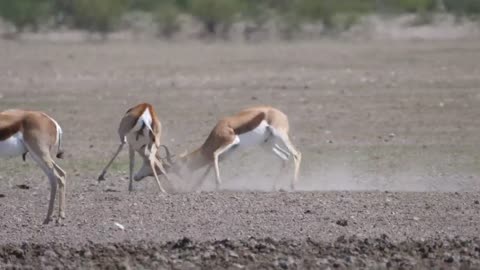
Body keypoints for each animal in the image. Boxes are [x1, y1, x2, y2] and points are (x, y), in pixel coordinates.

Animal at [139, 105, 302, 192]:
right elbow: (212, 162)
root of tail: (282, 115)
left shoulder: (231, 142)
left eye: (178, 167)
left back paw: (293, 185)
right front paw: (197, 186)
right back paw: (274, 187)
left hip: (280, 135)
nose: (183, 178)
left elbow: (214, 155)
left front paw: (218, 185)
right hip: (267, 144)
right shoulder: (229, 151)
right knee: (285, 157)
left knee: (296, 154)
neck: (218, 130)